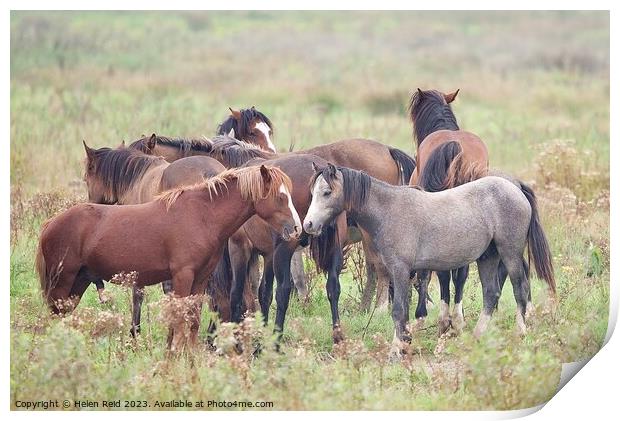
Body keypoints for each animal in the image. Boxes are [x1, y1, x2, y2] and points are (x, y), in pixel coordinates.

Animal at [36, 164, 302, 352]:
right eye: (280, 197)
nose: (296, 229)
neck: (202, 215)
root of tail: (51, 224)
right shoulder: (182, 276)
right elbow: (180, 321)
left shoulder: (201, 279)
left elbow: (192, 320)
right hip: (62, 284)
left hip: (77, 284)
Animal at [302, 163, 556, 354]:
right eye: (312, 193)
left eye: (327, 192)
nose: (308, 225)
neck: (388, 210)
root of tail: (516, 188)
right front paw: (405, 342)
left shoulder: (400, 270)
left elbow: (399, 310)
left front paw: (396, 349)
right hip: (488, 257)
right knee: (491, 294)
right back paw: (477, 336)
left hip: (510, 253)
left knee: (520, 289)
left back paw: (520, 331)